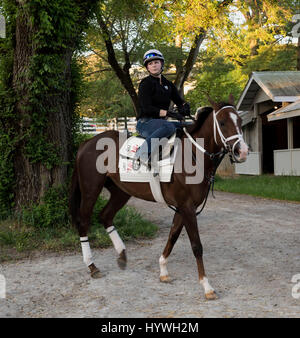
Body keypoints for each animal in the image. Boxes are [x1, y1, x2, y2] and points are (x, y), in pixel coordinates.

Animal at [69, 96, 248, 300]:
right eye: (223, 122)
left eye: (240, 121)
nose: (242, 151)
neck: (192, 155)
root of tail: (86, 143)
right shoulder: (186, 207)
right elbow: (196, 245)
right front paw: (206, 286)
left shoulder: (184, 207)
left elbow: (173, 236)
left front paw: (163, 271)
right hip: (91, 190)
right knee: (84, 222)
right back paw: (92, 265)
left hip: (121, 192)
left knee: (105, 216)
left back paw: (122, 255)